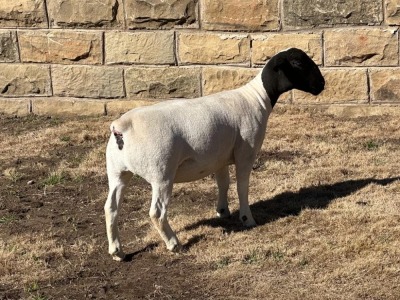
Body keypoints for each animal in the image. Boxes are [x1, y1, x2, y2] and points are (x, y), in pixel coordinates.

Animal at [104, 47, 324, 260]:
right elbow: (242, 188)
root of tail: (122, 127)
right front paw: (247, 219)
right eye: (296, 62)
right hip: (161, 173)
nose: (322, 84)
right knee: (157, 213)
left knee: (111, 208)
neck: (257, 98)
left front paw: (223, 212)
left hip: (117, 172)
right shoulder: (246, 153)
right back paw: (174, 244)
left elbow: (223, 184)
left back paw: (117, 252)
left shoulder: (220, 158)